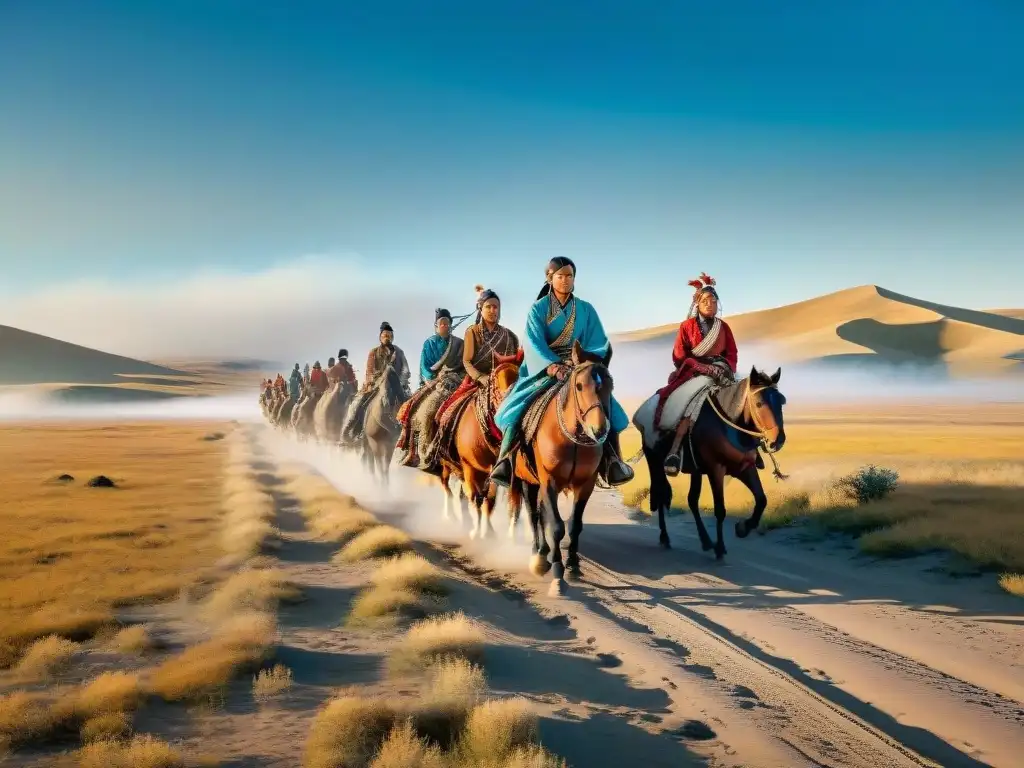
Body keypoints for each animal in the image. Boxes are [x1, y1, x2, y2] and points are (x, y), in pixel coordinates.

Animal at [436, 350, 524, 540]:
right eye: (496, 383)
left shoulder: (496, 472)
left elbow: (491, 501)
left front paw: (490, 531)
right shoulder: (469, 467)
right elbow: (476, 497)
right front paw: (477, 532)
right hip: (447, 463)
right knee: (447, 486)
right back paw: (450, 516)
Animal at [509, 339, 610, 598]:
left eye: (610, 385)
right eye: (579, 386)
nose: (598, 430)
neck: (572, 439)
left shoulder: (585, 483)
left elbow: (574, 525)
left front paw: (573, 566)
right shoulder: (549, 481)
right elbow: (555, 526)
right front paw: (557, 575)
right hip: (528, 480)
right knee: (534, 515)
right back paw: (538, 557)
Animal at [630, 366, 790, 561]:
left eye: (781, 402)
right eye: (759, 404)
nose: (778, 441)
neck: (729, 427)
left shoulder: (746, 467)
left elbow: (761, 500)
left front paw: (742, 528)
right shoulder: (716, 470)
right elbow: (720, 510)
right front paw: (720, 548)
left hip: (695, 470)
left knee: (691, 500)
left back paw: (706, 541)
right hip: (654, 460)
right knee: (661, 492)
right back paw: (665, 537)